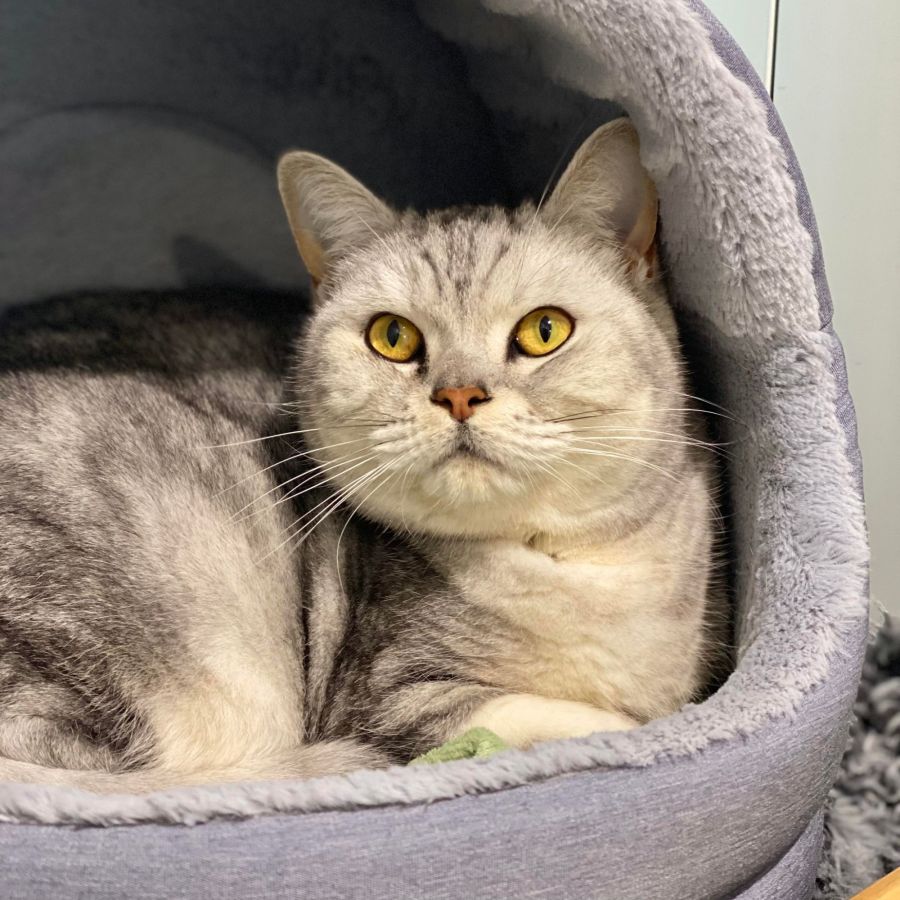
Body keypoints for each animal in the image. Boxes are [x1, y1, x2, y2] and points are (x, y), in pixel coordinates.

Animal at [0, 118, 725, 792]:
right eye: (393, 337)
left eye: (544, 330)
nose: (459, 394)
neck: (573, 567)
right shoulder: (394, 696)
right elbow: (580, 719)